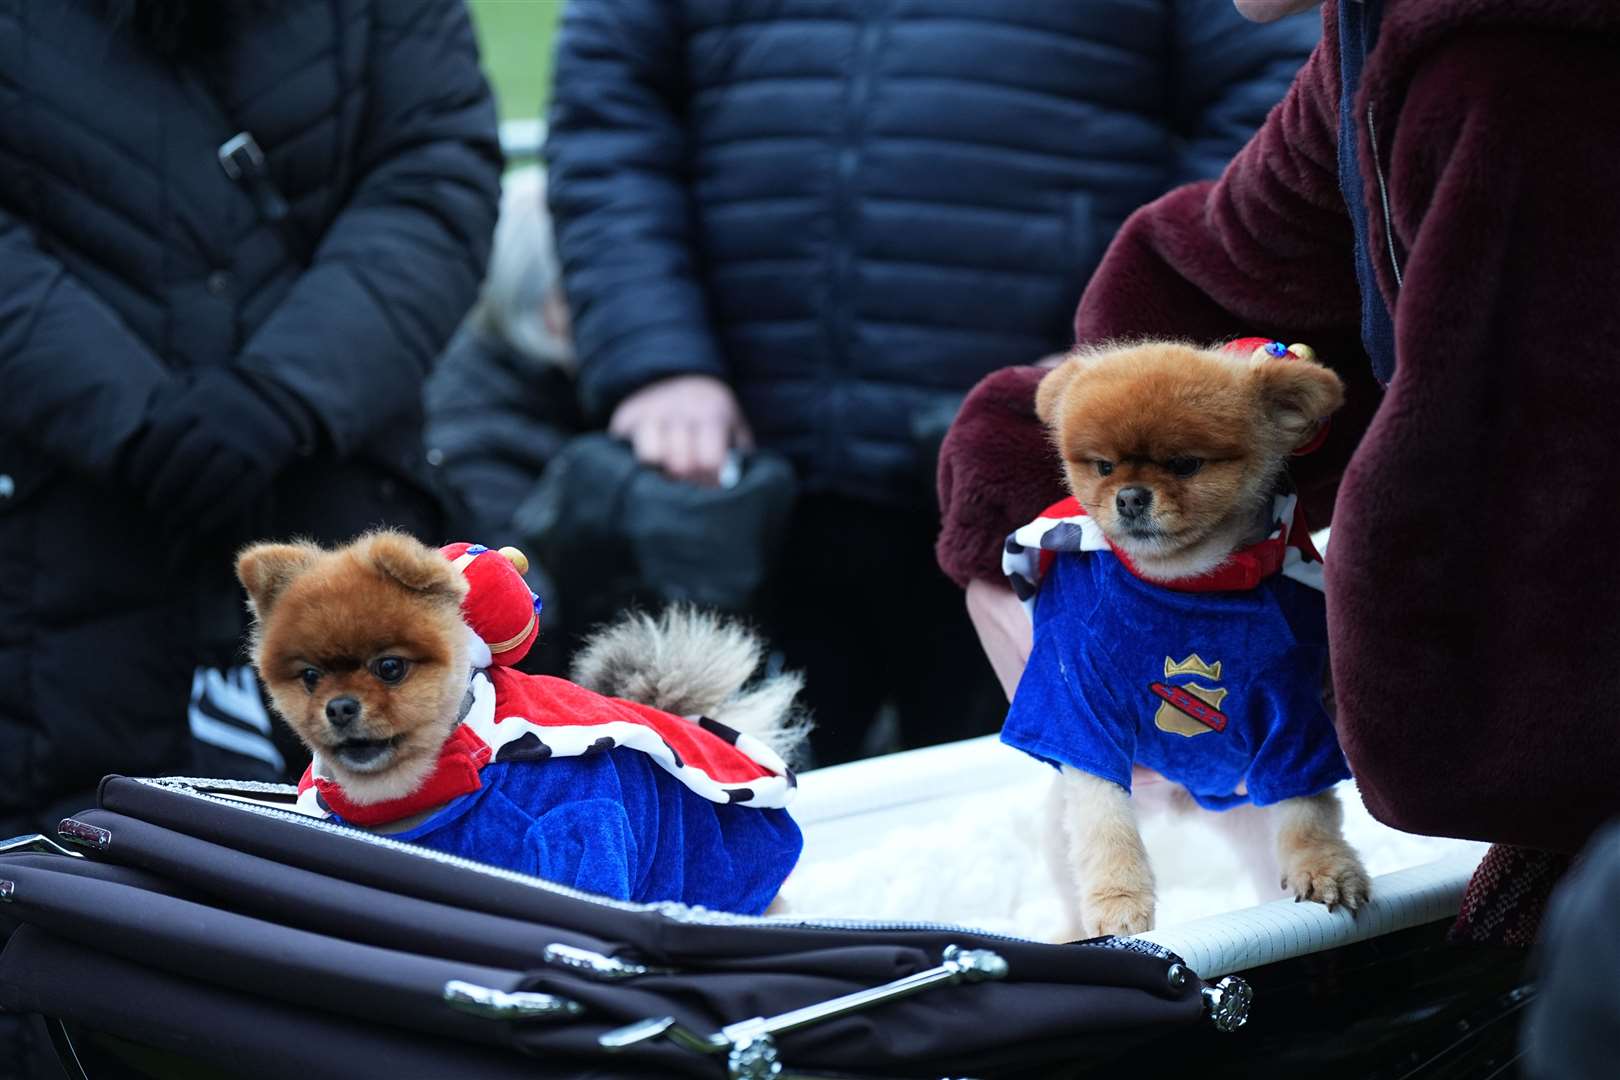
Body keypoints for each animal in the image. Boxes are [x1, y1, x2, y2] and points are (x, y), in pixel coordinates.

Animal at [1004, 338, 1373, 939]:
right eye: (1103, 467)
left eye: (1185, 464)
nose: (1130, 496)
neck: (1186, 582)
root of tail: (1190, 800)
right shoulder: (1079, 706)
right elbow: (1105, 826)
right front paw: (1118, 902)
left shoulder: (1294, 715)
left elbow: (1309, 811)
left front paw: (1326, 868)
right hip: (1061, 829)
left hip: (1251, 813)